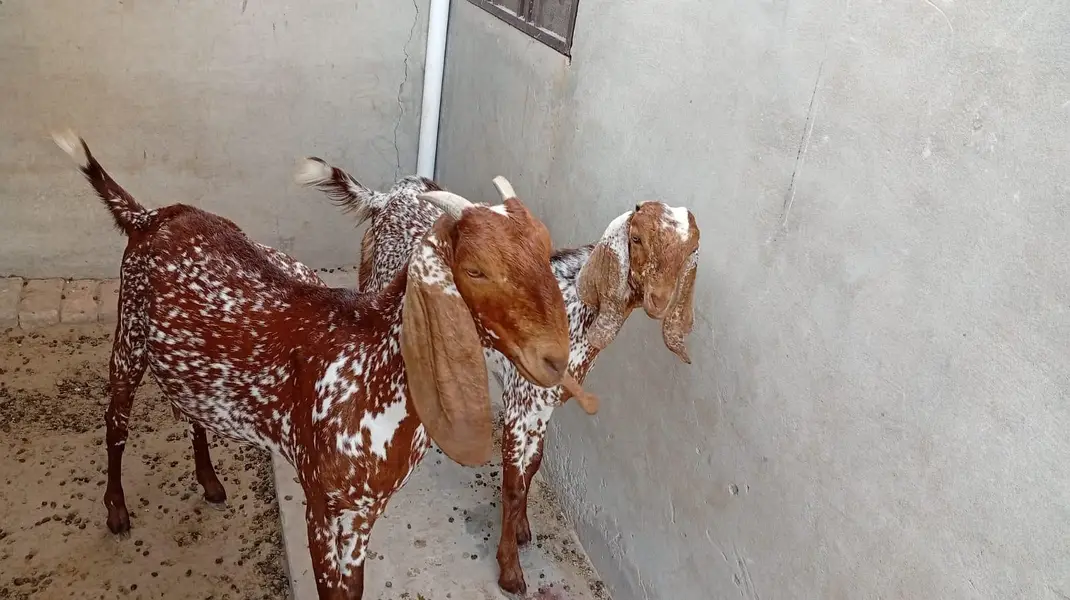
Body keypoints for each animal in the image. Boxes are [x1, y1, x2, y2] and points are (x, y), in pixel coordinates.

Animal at [53, 130, 597, 599]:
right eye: (475, 269)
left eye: (546, 254)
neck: (372, 374)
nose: (556, 356)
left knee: (189, 413)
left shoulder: (362, 512)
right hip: (128, 335)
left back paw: (209, 482)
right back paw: (117, 512)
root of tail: (149, 215)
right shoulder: (322, 500)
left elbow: (351, 589)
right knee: (115, 422)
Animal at [298, 159, 700, 594]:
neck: (575, 306)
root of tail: (387, 197)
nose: (659, 300)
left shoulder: (543, 406)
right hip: (377, 277)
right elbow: (513, 483)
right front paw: (510, 569)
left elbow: (533, 466)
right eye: (638, 238)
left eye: (689, 250)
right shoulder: (521, 404)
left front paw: (522, 528)